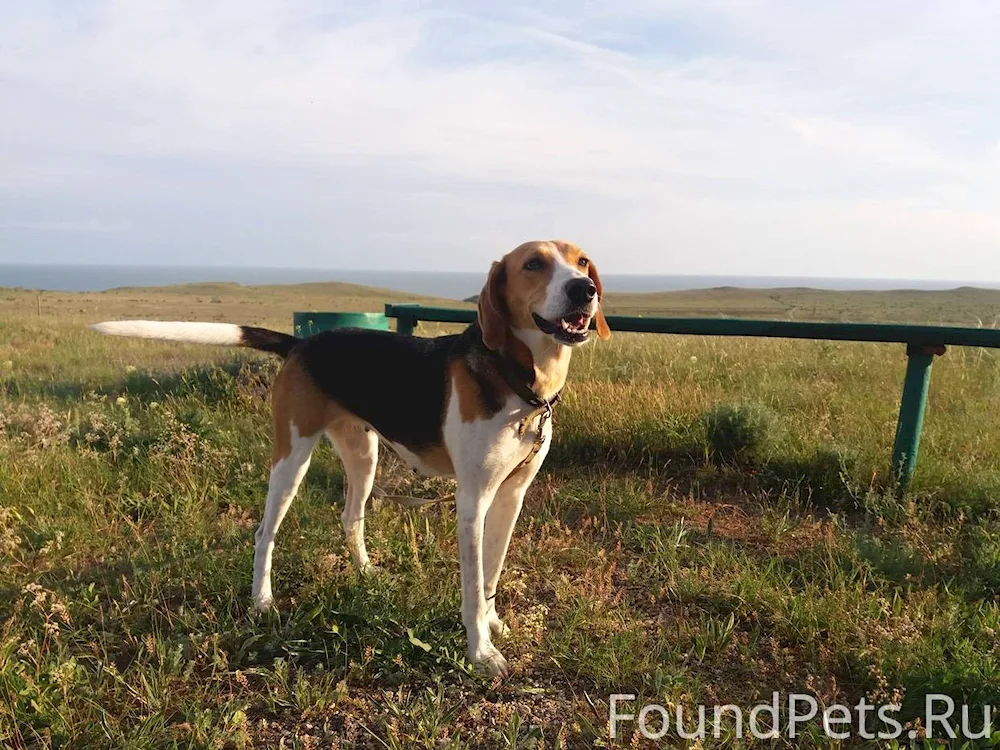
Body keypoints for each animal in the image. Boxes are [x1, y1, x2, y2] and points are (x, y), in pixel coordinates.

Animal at [94, 241, 608, 676]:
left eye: (582, 261)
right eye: (533, 264)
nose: (585, 290)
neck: (518, 381)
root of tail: (301, 343)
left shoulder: (510, 495)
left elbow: (491, 573)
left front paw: (495, 621)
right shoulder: (472, 502)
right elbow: (472, 586)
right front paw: (481, 652)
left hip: (364, 453)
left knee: (350, 517)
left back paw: (365, 572)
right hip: (292, 457)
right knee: (264, 533)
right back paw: (262, 601)